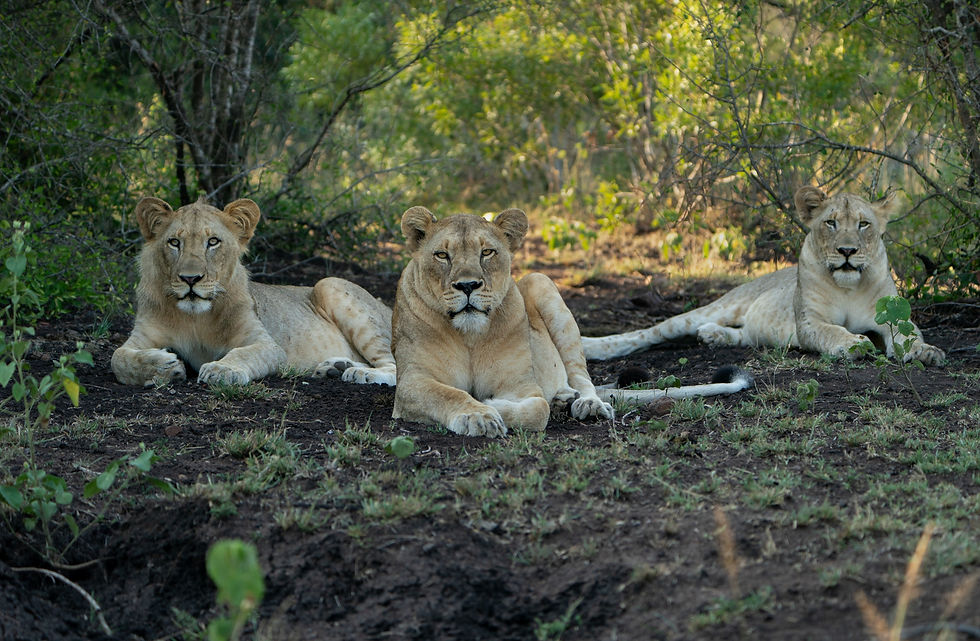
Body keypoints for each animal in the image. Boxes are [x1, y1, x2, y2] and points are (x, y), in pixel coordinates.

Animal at [111, 195, 396, 387]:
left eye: (212, 242)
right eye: (174, 242)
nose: (191, 279)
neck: (194, 318)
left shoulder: (266, 344)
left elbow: (244, 353)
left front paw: (222, 370)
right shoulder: (141, 337)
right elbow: (118, 358)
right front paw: (162, 365)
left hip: (330, 283)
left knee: (394, 365)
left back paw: (362, 374)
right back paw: (335, 367)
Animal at [390, 207, 753, 438]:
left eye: (487, 253)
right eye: (442, 255)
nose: (467, 286)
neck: (469, 335)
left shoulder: (522, 384)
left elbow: (537, 409)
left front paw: (492, 406)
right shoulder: (411, 382)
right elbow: (448, 395)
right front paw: (478, 414)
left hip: (541, 283)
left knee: (581, 376)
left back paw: (584, 404)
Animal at [581, 186, 946, 365]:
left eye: (863, 224)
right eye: (830, 223)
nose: (846, 251)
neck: (849, 288)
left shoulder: (894, 316)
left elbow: (909, 335)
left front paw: (925, 352)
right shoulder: (809, 322)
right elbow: (831, 331)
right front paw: (854, 344)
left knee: (747, 334)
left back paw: (714, 336)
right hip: (716, 306)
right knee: (647, 333)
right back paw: (592, 347)